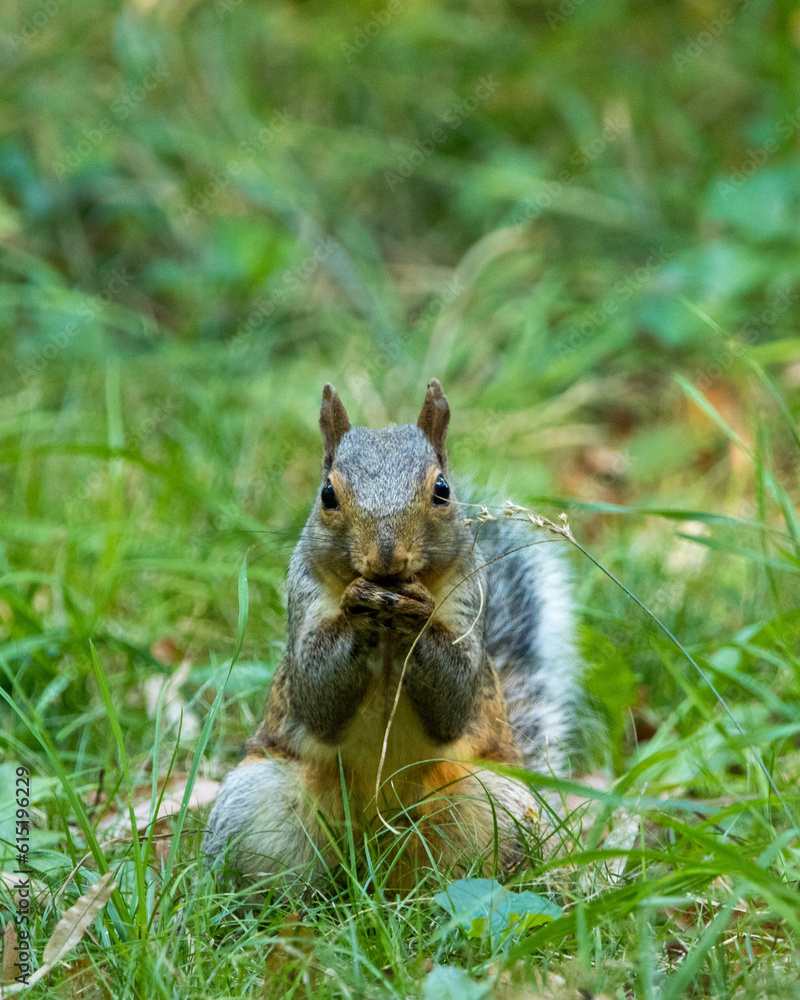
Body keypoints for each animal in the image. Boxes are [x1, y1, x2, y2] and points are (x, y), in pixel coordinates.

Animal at [203, 380, 585, 890]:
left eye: (442, 490)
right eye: (327, 494)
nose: (386, 558)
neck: (386, 638)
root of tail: (375, 871)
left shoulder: (472, 601)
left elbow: (454, 700)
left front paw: (417, 616)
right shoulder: (303, 600)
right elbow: (315, 693)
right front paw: (358, 607)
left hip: (499, 808)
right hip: (256, 807)